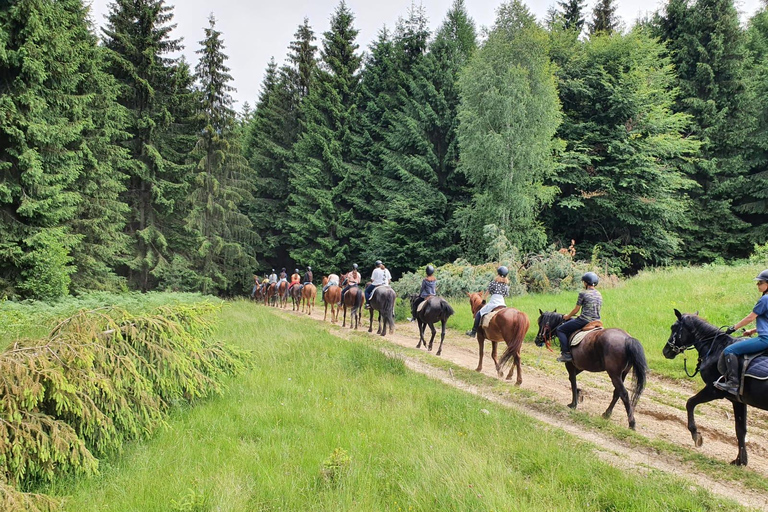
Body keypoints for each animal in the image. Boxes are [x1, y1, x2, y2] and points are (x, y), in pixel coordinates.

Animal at [520, 310, 652, 430]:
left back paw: (631, 423)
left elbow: (572, 381)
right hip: (622, 374)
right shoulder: (580, 366)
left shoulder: (570, 364)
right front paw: (580, 394)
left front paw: (574, 403)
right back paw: (607, 414)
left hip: (614, 374)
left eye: (540, 323)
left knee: (624, 393)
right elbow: (573, 379)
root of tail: (627, 339)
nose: (537, 340)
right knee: (617, 392)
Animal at [664, 310, 768, 466]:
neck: (716, 348)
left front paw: (696, 435)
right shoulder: (738, 400)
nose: (666, 351)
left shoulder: (713, 391)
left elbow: (690, 403)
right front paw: (740, 461)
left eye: (673, 327)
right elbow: (740, 430)